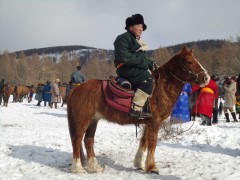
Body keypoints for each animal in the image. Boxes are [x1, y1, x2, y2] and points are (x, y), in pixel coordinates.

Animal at [67, 47, 210, 174]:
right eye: (189, 61)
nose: (206, 78)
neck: (161, 87)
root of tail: (77, 89)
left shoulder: (148, 122)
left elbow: (144, 141)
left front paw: (139, 163)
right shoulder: (155, 122)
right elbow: (152, 143)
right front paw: (152, 167)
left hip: (93, 120)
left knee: (88, 141)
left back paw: (94, 167)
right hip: (83, 120)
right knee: (77, 139)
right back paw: (78, 168)